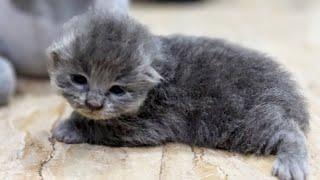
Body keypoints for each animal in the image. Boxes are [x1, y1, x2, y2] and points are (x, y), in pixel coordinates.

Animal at [47, 8, 310, 180]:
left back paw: (292, 163)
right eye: (79, 79)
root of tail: (287, 89)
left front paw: (69, 128)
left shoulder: (150, 122)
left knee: (289, 132)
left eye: (117, 90)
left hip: (245, 122)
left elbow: (102, 126)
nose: (94, 103)